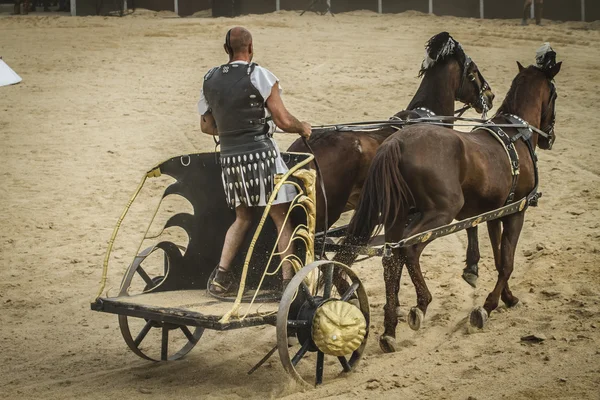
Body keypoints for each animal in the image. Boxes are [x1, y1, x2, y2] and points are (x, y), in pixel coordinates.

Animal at [336, 54, 560, 354]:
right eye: (555, 95)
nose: (550, 136)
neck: (514, 133)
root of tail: (396, 142)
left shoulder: (494, 214)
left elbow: (499, 258)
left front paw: (507, 297)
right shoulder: (517, 212)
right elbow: (508, 262)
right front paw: (487, 306)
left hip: (398, 216)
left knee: (391, 258)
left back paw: (389, 329)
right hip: (440, 212)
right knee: (409, 249)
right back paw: (421, 304)